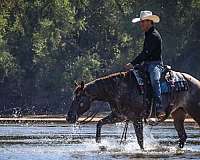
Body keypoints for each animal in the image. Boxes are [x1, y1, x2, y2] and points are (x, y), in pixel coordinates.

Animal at [66, 69, 200, 150]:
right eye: (73, 97)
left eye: (78, 98)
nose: (69, 117)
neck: (119, 89)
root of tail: (196, 83)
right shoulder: (119, 116)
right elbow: (99, 123)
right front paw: (99, 142)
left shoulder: (137, 118)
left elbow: (140, 140)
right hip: (178, 113)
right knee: (182, 136)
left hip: (194, 111)